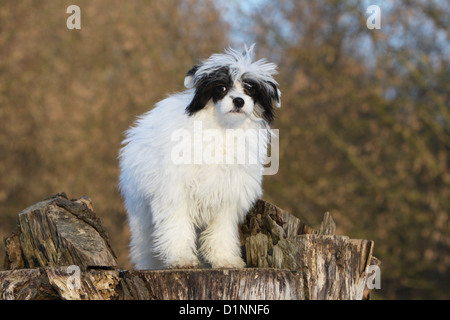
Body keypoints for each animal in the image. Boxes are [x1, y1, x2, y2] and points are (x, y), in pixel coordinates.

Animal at [119, 45, 282, 268]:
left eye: (250, 89)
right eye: (221, 88)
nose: (239, 100)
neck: (222, 128)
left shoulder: (227, 195)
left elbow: (221, 232)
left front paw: (224, 259)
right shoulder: (175, 192)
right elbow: (177, 227)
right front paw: (181, 257)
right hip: (141, 214)